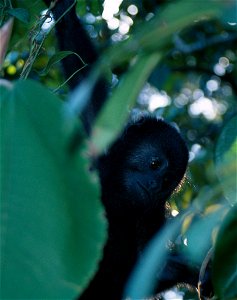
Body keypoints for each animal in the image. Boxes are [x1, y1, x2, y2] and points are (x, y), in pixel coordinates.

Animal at [41, 0, 199, 298]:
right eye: (154, 164)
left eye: (166, 181)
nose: (153, 185)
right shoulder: (101, 147)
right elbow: (88, 82)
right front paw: (64, 13)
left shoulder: (152, 216)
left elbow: (143, 274)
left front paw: (188, 270)